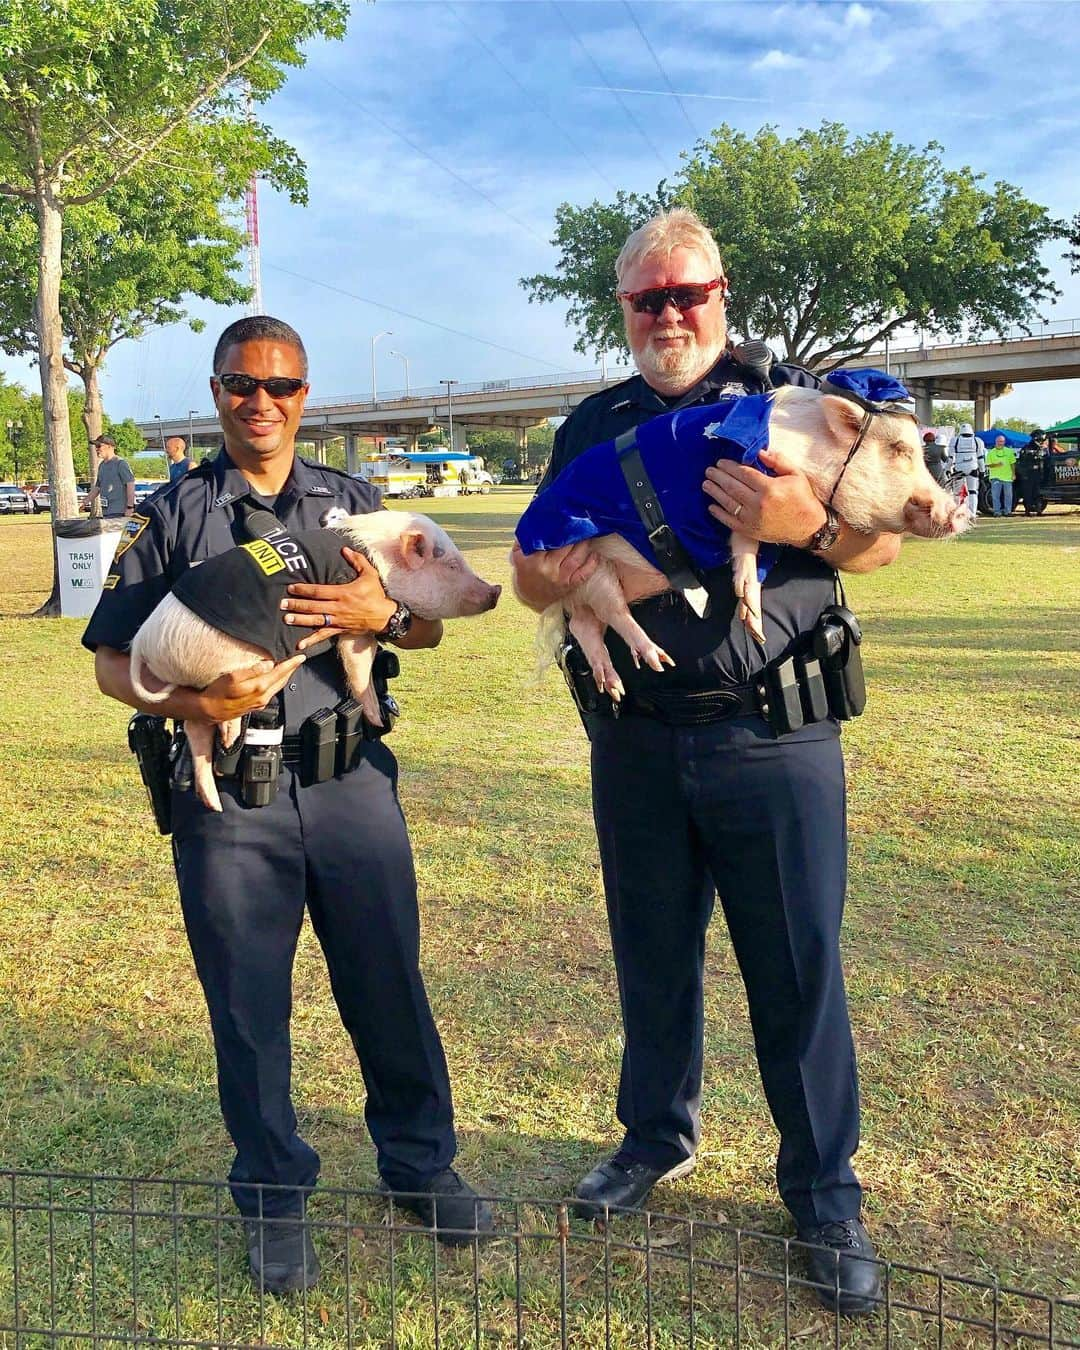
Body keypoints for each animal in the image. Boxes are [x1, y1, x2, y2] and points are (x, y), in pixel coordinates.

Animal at [129, 510, 496, 810]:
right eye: (451, 565)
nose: (496, 590)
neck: (373, 558)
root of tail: (143, 644)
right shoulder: (351, 622)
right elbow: (358, 662)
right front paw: (375, 719)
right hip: (233, 671)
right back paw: (231, 742)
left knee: (196, 726)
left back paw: (213, 802)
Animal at [515, 380, 972, 696]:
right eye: (898, 450)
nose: (958, 512)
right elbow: (743, 541)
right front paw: (752, 620)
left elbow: (748, 549)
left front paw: (752, 621)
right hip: (587, 562)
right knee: (613, 614)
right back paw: (657, 661)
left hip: (589, 587)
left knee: (590, 626)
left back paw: (613, 685)